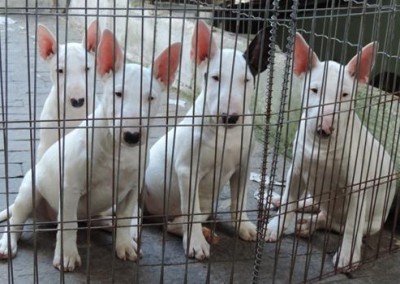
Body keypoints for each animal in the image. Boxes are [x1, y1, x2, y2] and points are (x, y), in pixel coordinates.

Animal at [0, 28, 181, 270]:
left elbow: (124, 218)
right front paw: (66, 255)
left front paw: (125, 246)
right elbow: (68, 224)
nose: (132, 136)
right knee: (16, 222)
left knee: (105, 219)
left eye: (151, 98)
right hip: (30, 191)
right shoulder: (70, 188)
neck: (118, 152)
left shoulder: (132, 189)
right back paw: (7, 244)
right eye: (118, 94)